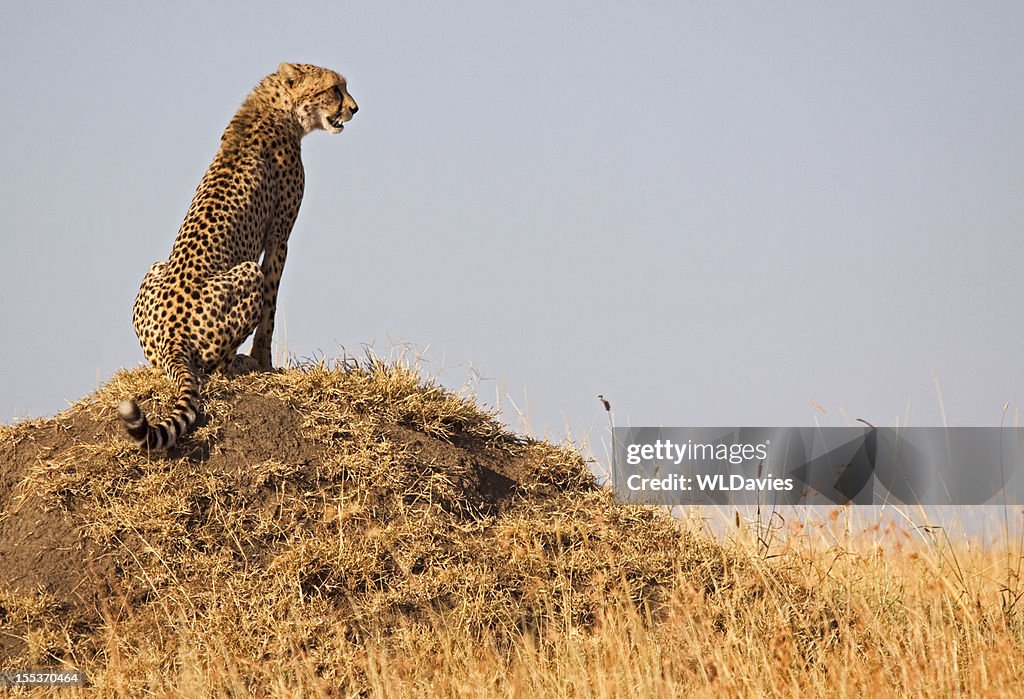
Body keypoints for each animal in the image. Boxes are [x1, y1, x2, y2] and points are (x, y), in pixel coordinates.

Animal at [118, 64, 358, 448]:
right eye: (335, 88)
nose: (354, 108)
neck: (277, 108)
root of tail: (171, 334)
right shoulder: (279, 236)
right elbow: (271, 307)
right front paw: (264, 361)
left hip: (154, 270)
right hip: (247, 273)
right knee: (216, 367)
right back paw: (239, 364)